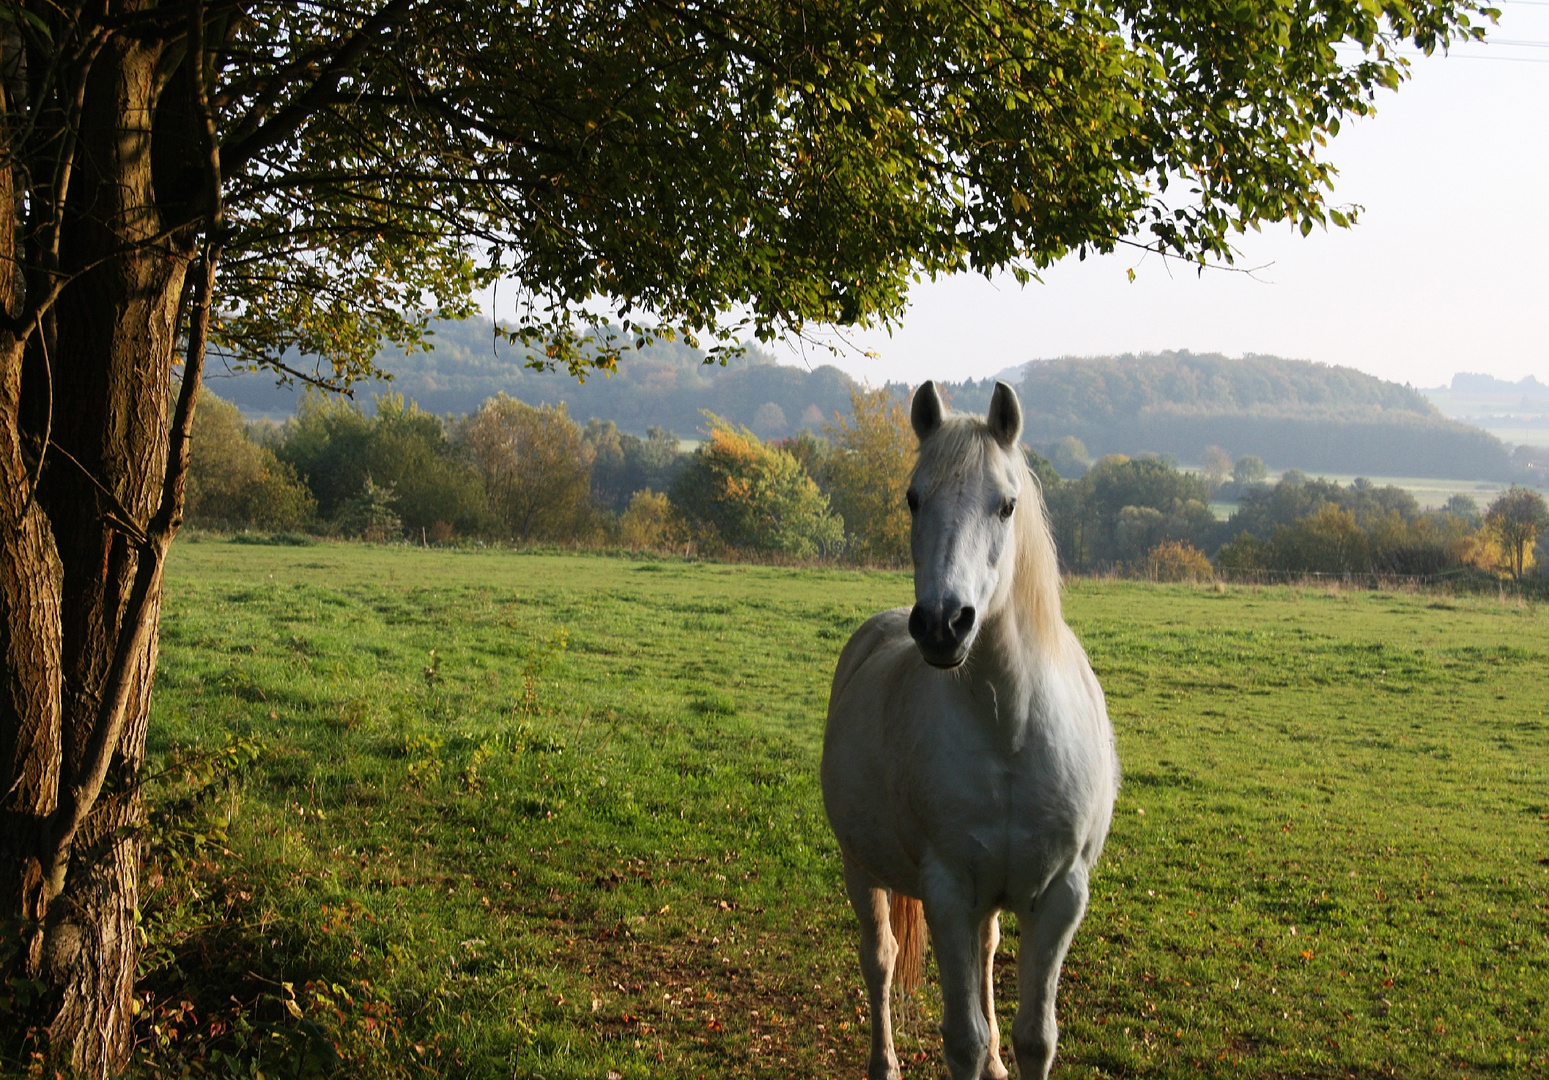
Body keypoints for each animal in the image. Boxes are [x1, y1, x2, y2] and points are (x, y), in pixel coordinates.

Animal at [824, 381, 1115, 1078]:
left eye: (1007, 505)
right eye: (912, 497)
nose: (941, 624)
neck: (1009, 730)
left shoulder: (1060, 896)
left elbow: (1035, 1037)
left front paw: (1009, 1058)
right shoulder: (949, 893)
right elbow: (964, 1037)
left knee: (985, 956)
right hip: (860, 869)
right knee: (880, 961)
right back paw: (884, 1064)